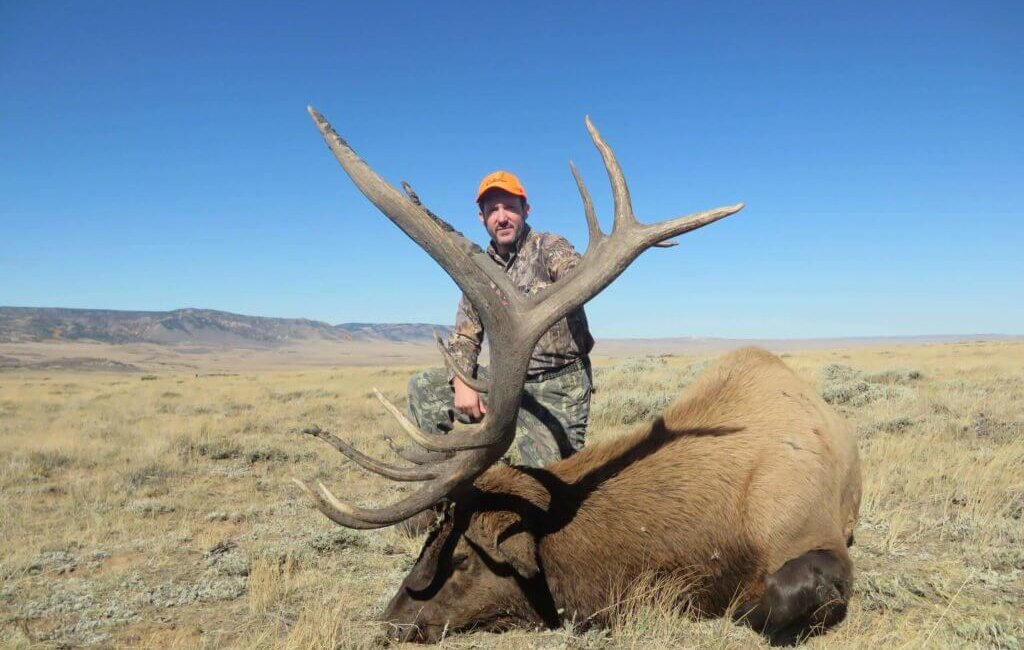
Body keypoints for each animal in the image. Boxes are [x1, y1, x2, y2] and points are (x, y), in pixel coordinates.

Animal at [294, 106, 862, 646]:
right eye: (427, 545)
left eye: (460, 558)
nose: (390, 621)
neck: (711, 537)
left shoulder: (816, 535)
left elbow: (775, 601)